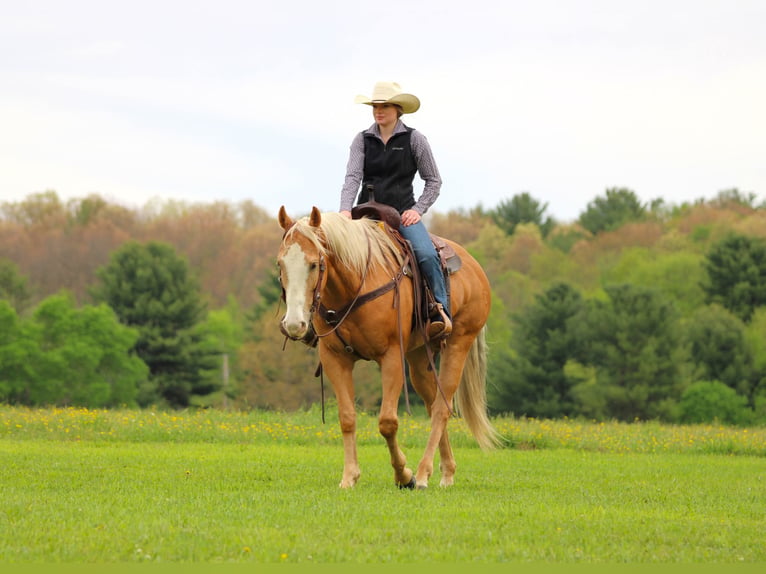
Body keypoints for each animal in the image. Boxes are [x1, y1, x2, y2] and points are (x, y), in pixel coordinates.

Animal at [277, 205, 500, 489]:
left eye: (314, 264)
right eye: (280, 263)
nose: (295, 324)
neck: (355, 284)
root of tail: (474, 266)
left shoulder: (391, 357)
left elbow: (387, 422)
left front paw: (404, 475)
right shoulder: (334, 358)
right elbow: (347, 418)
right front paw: (349, 477)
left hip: (459, 342)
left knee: (441, 408)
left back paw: (423, 474)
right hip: (418, 357)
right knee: (433, 403)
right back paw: (447, 471)